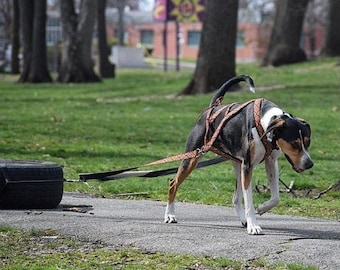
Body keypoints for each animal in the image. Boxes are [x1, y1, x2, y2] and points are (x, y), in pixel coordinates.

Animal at [165, 74, 314, 234]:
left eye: (308, 142)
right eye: (294, 144)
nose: (309, 164)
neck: (264, 123)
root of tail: (213, 108)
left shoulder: (271, 163)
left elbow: (276, 197)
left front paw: (262, 208)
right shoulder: (248, 167)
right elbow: (249, 201)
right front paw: (253, 226)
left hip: (237, 164)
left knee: (236, 198)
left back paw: (244, 220)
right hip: (193, 157)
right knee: (173, 183)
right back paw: (170, 215)